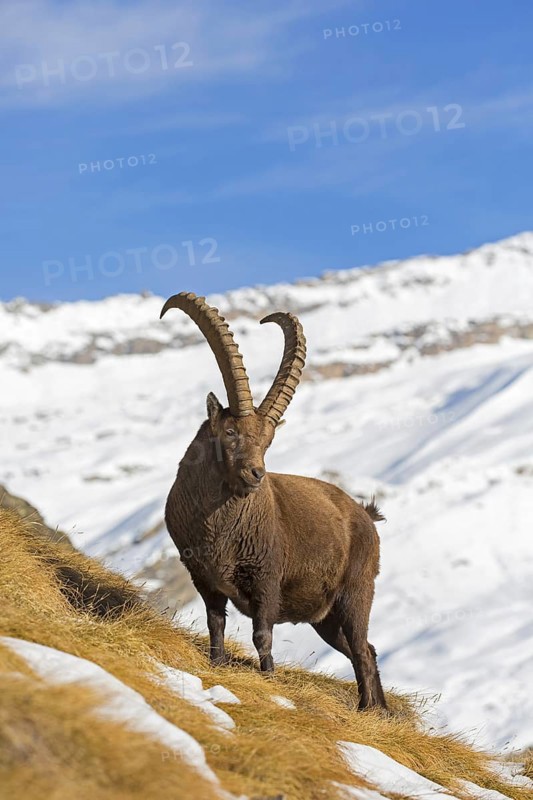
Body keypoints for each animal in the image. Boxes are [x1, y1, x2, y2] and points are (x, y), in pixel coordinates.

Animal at [161, 292, 387, 710]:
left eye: (268, 441)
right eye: (230, 432)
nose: (256, 475)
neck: (219, 529)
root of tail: (365, 516)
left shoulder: (266, 579)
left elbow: (262, 635)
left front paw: (270, 682)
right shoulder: (202, 576)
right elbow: (215, 623)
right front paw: (216, 666)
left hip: (356, 593)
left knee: (363, 651)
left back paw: (367, 709)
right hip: (325, 618)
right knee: (366, 648)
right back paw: (382, 713)